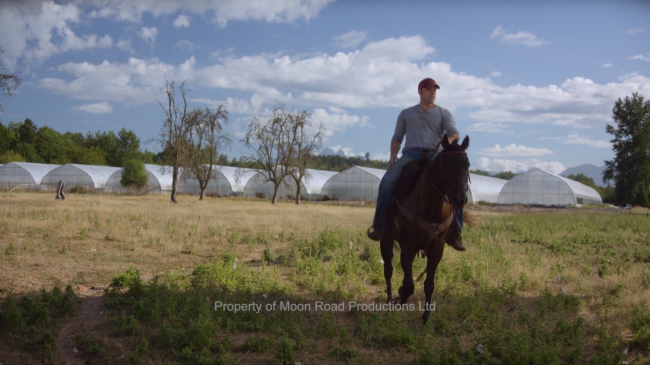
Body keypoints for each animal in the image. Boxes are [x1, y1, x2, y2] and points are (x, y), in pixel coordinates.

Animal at [380, 135, 470, 322]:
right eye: (445, 164)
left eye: (467, 165)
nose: (460, 199)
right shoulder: (408, 247)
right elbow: (408, 284)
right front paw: (401, 294)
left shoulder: (437, 248)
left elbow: (429, 283)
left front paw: (426, 315)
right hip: (386, 239)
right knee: (388, 269)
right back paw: (390, 299)